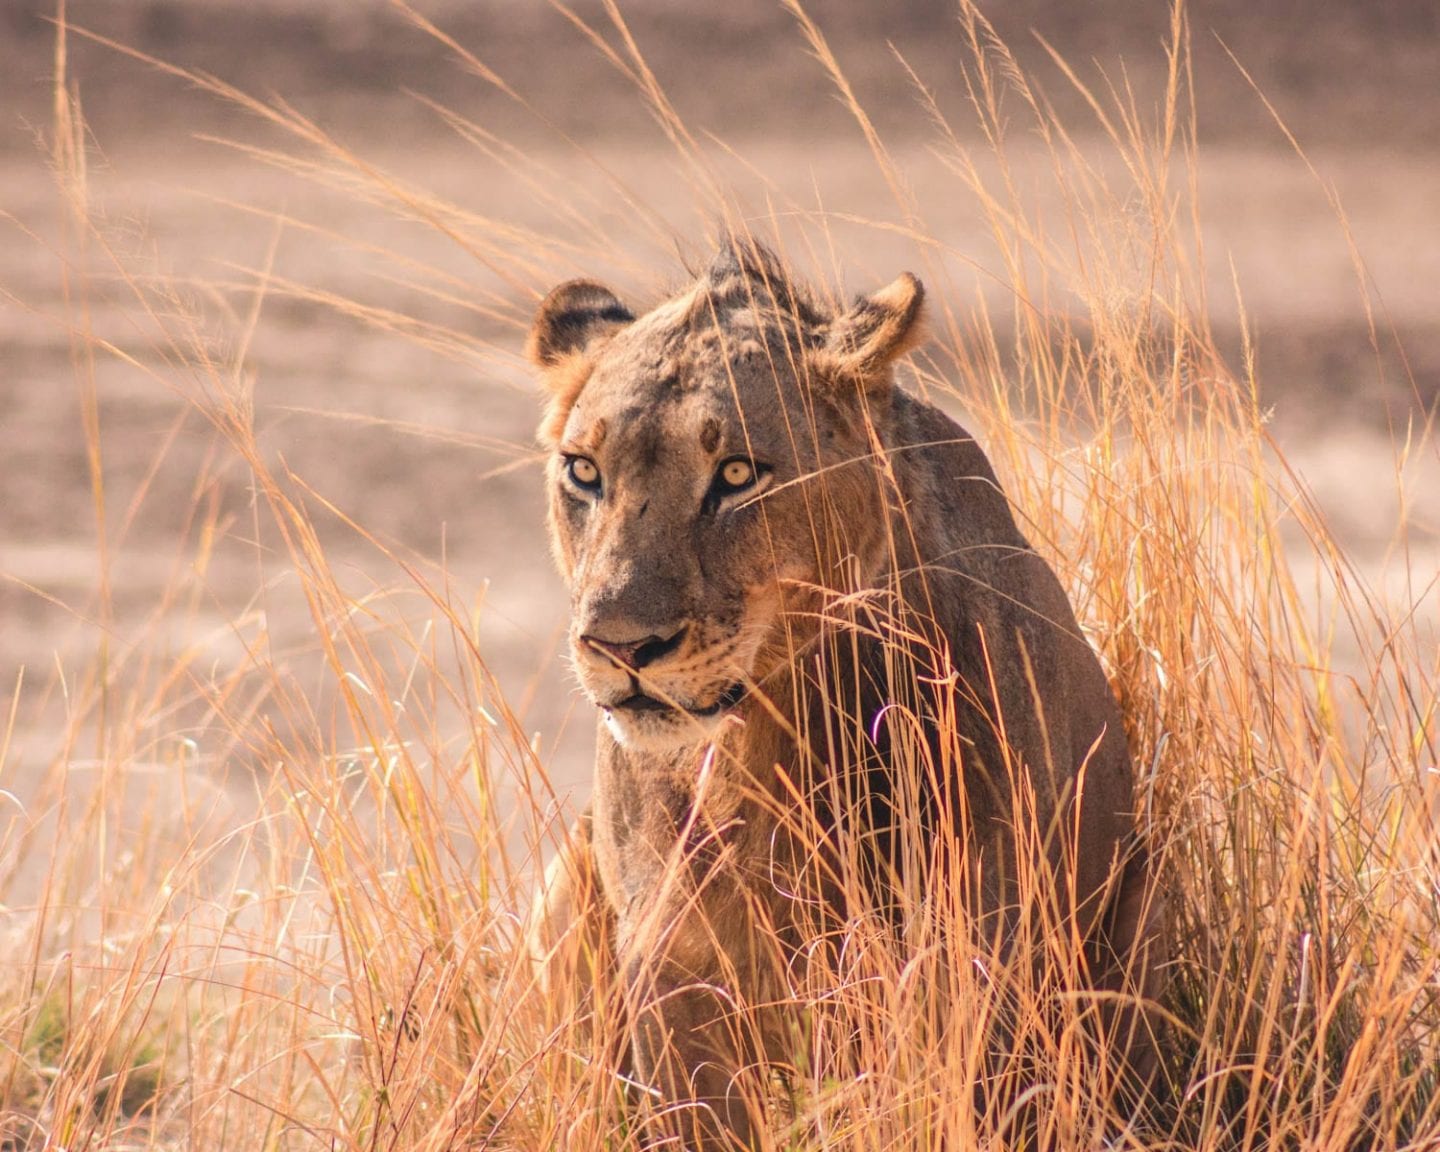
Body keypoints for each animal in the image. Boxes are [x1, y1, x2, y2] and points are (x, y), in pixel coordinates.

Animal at [524, 240, 1166, 1149]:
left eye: (737, 474)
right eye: (584, 472)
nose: (619, 646)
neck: (769, 735)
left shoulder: (972, 959)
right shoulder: (673, 968)